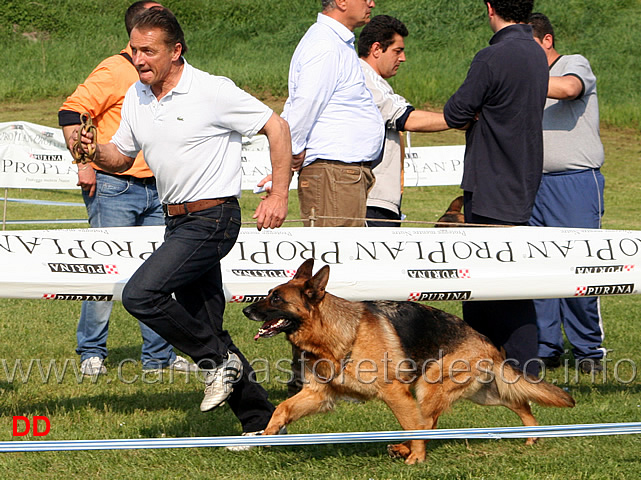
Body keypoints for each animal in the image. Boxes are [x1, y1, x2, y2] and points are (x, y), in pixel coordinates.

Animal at [241, 258, 576, 464]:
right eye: (269, 293)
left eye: (276, 299)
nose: (246, 311)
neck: (338, 335)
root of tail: (488, 343)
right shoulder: (318, 394)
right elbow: (282, 409)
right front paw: (266, 435)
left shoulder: (395, 393)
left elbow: (409, 423)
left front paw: (417, 458)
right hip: (482, 394)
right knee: (518, 403)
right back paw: (532, 434)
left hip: (430, 387)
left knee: (425, 423)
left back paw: (409, 450)